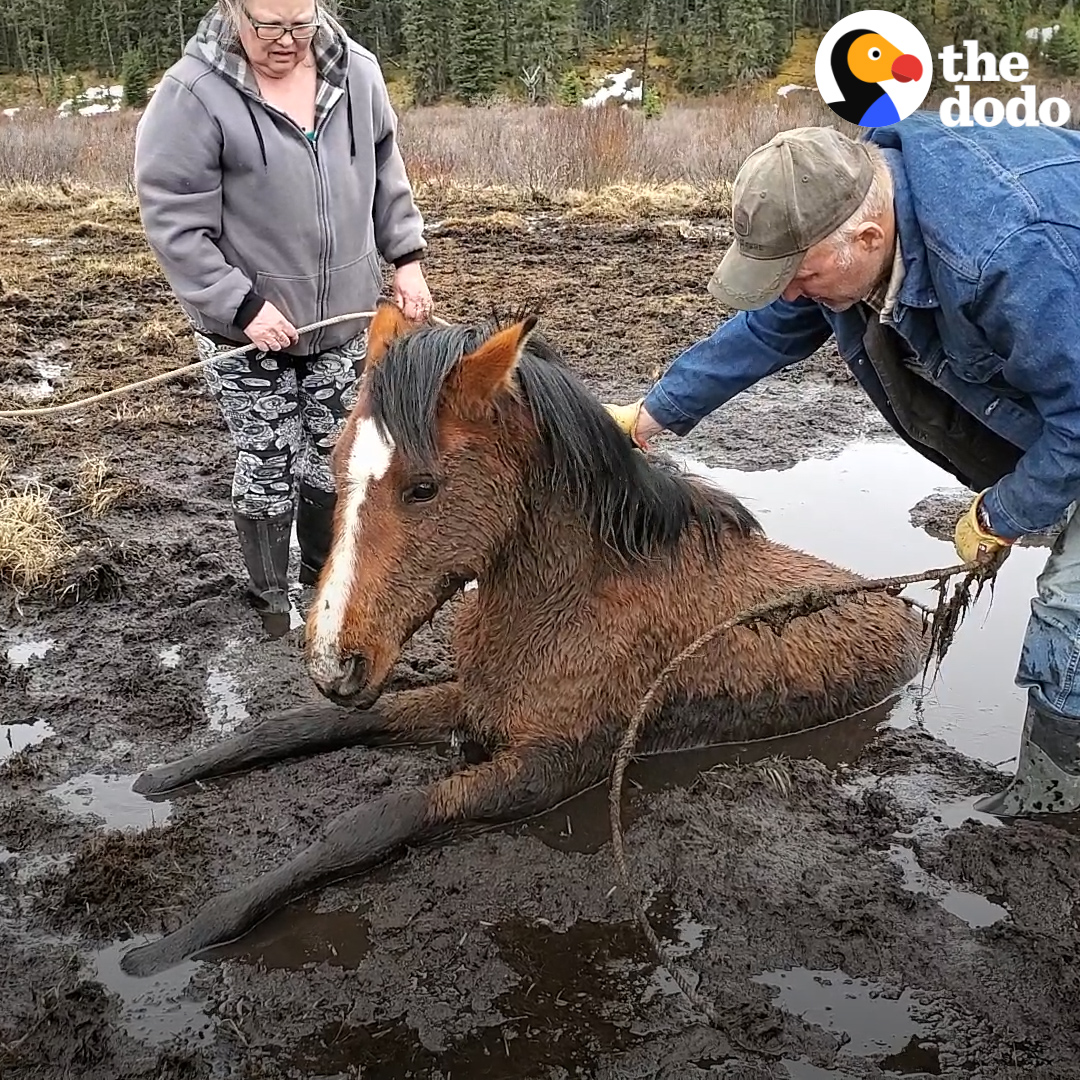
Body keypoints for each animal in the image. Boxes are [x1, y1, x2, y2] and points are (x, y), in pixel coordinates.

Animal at [120, 300, 927, 977]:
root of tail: (911, 610)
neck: (573, 608)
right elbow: (298, 725)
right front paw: (167, 776)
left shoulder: (545, 771)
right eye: (339, 464)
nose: (332, 662)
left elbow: (368, 821)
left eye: (424, 487)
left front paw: (186, 937)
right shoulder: (469, 702)